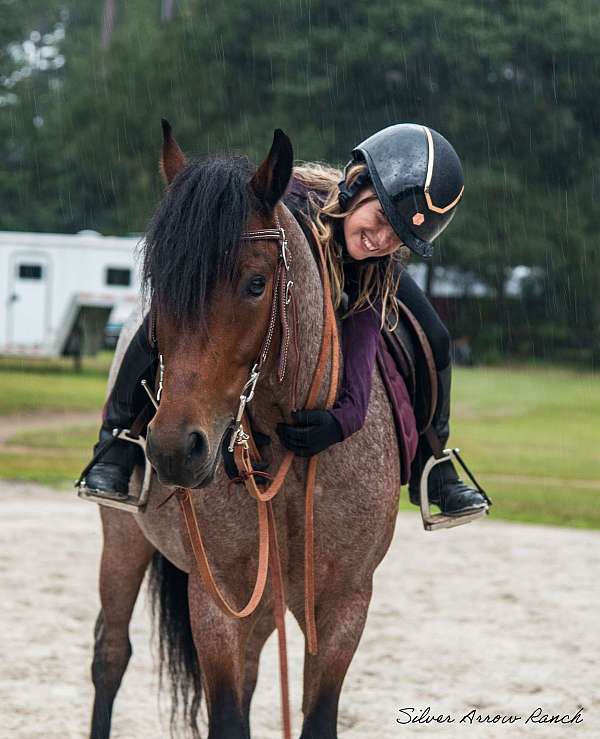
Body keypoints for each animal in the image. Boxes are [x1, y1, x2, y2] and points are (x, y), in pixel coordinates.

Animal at [90, 123, 404, 739]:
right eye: (158, 283)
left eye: (257, 283)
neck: (288, 452)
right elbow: (227, 716)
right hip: (123, 541)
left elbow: (317, 716)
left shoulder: (343, 605)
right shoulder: (218, 602)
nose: (174, 448)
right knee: (110, 657)